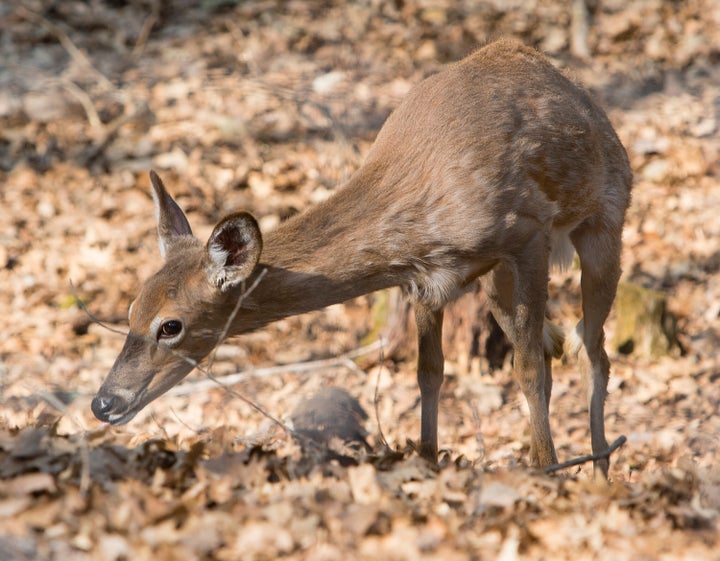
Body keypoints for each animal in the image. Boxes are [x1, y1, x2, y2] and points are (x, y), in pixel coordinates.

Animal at [93, 40, 632, 476]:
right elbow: (429, 374)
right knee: (558, 344)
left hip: (606, 219)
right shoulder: (425, 282)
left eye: (170, 325)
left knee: (592, 350)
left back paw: (598, 470)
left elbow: (527, 369)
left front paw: (545, 471)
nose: (103, 403)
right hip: (494, 280)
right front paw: (427, 462)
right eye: (130, 310)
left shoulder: (528, 233)